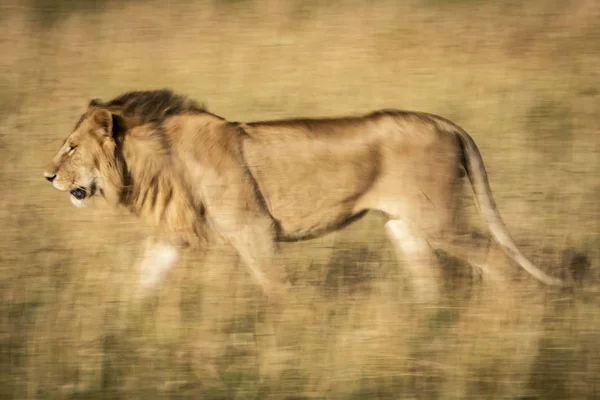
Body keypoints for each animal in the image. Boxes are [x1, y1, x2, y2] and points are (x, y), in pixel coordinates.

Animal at [44, 89, 564, 304]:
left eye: (70, 147)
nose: (46, 176)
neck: (151, 163)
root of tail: (443, 121)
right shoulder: (171, 236)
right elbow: (141, 281)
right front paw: (119, 326)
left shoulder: (252, 227)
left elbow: (275, 287)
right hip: (405, 225)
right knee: (429, 278)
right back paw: (428, 326)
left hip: (439, 219)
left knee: (494, 257)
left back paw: (503, 318)